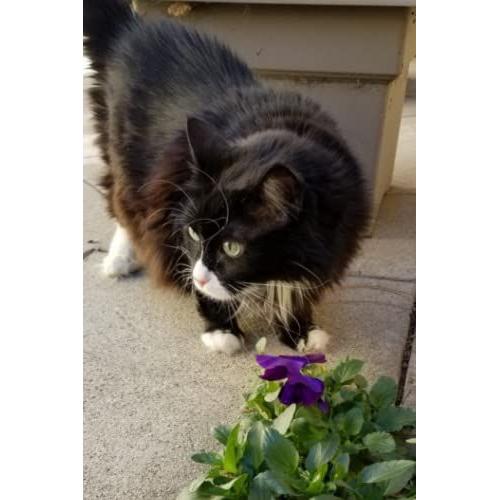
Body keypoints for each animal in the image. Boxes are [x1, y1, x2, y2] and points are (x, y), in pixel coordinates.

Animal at [84, 0, 370, 356]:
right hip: (127, 160)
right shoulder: (172, 204)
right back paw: (119, 261)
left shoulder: (333, 240)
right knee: (122, 207)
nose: (200, 278)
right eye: (194, 233)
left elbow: (295, 290)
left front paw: (300, 329)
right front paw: (221, 329)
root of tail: (131, 27)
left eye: (233, 248)